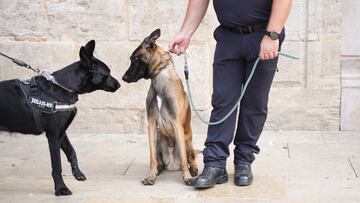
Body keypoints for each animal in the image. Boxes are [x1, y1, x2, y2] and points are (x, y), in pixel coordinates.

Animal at [0, 40, 121, 197]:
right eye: (107, 73)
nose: (119, 84)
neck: (64, 87)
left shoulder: (61, 133)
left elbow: (72, 152)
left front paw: (77, 173)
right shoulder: (53, 136)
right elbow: (57, 166)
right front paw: (61, 188)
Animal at [123, 29, 197, 186]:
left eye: (135, 58)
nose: (123, 78)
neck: (159, 80)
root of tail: (172, 165)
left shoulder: (177, 125)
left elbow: (184, 158)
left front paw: (187, 177)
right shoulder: (151, 125)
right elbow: (152, 158)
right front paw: (151, 177)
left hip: (187, 140)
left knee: (191, 158)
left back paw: (192, 170)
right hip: (159, 140)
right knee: (159, 160)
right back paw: (159, 168)